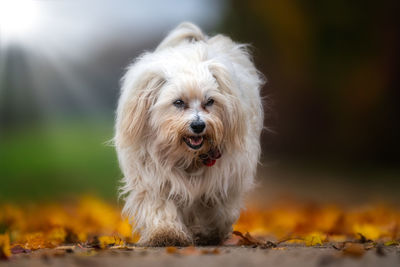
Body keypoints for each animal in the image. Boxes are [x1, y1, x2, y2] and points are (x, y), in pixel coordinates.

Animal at [115, 22, 264, 247]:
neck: (188, 156)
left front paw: (209, 232)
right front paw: (165, 233)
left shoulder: (224, 176)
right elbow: (159, 205)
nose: (198, 125)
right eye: (178, 102)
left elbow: (217, 209)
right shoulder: (154, 177)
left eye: (209, 101)